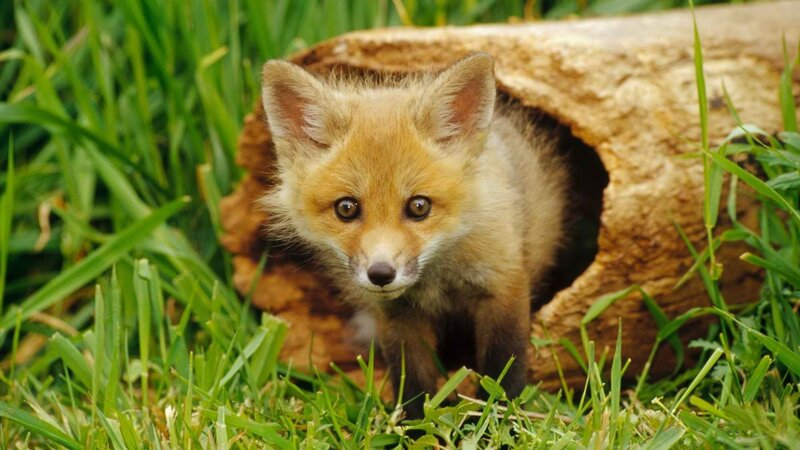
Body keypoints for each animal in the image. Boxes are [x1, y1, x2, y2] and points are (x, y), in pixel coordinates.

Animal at [259, 52, 567, 419]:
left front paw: (496, 419)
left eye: (419, 206)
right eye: (347, 208)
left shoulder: (503, 286)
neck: (437, 280)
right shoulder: (398, 317)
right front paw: (414, 425)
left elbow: (502, 371)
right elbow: (413, 383)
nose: (381, 274)